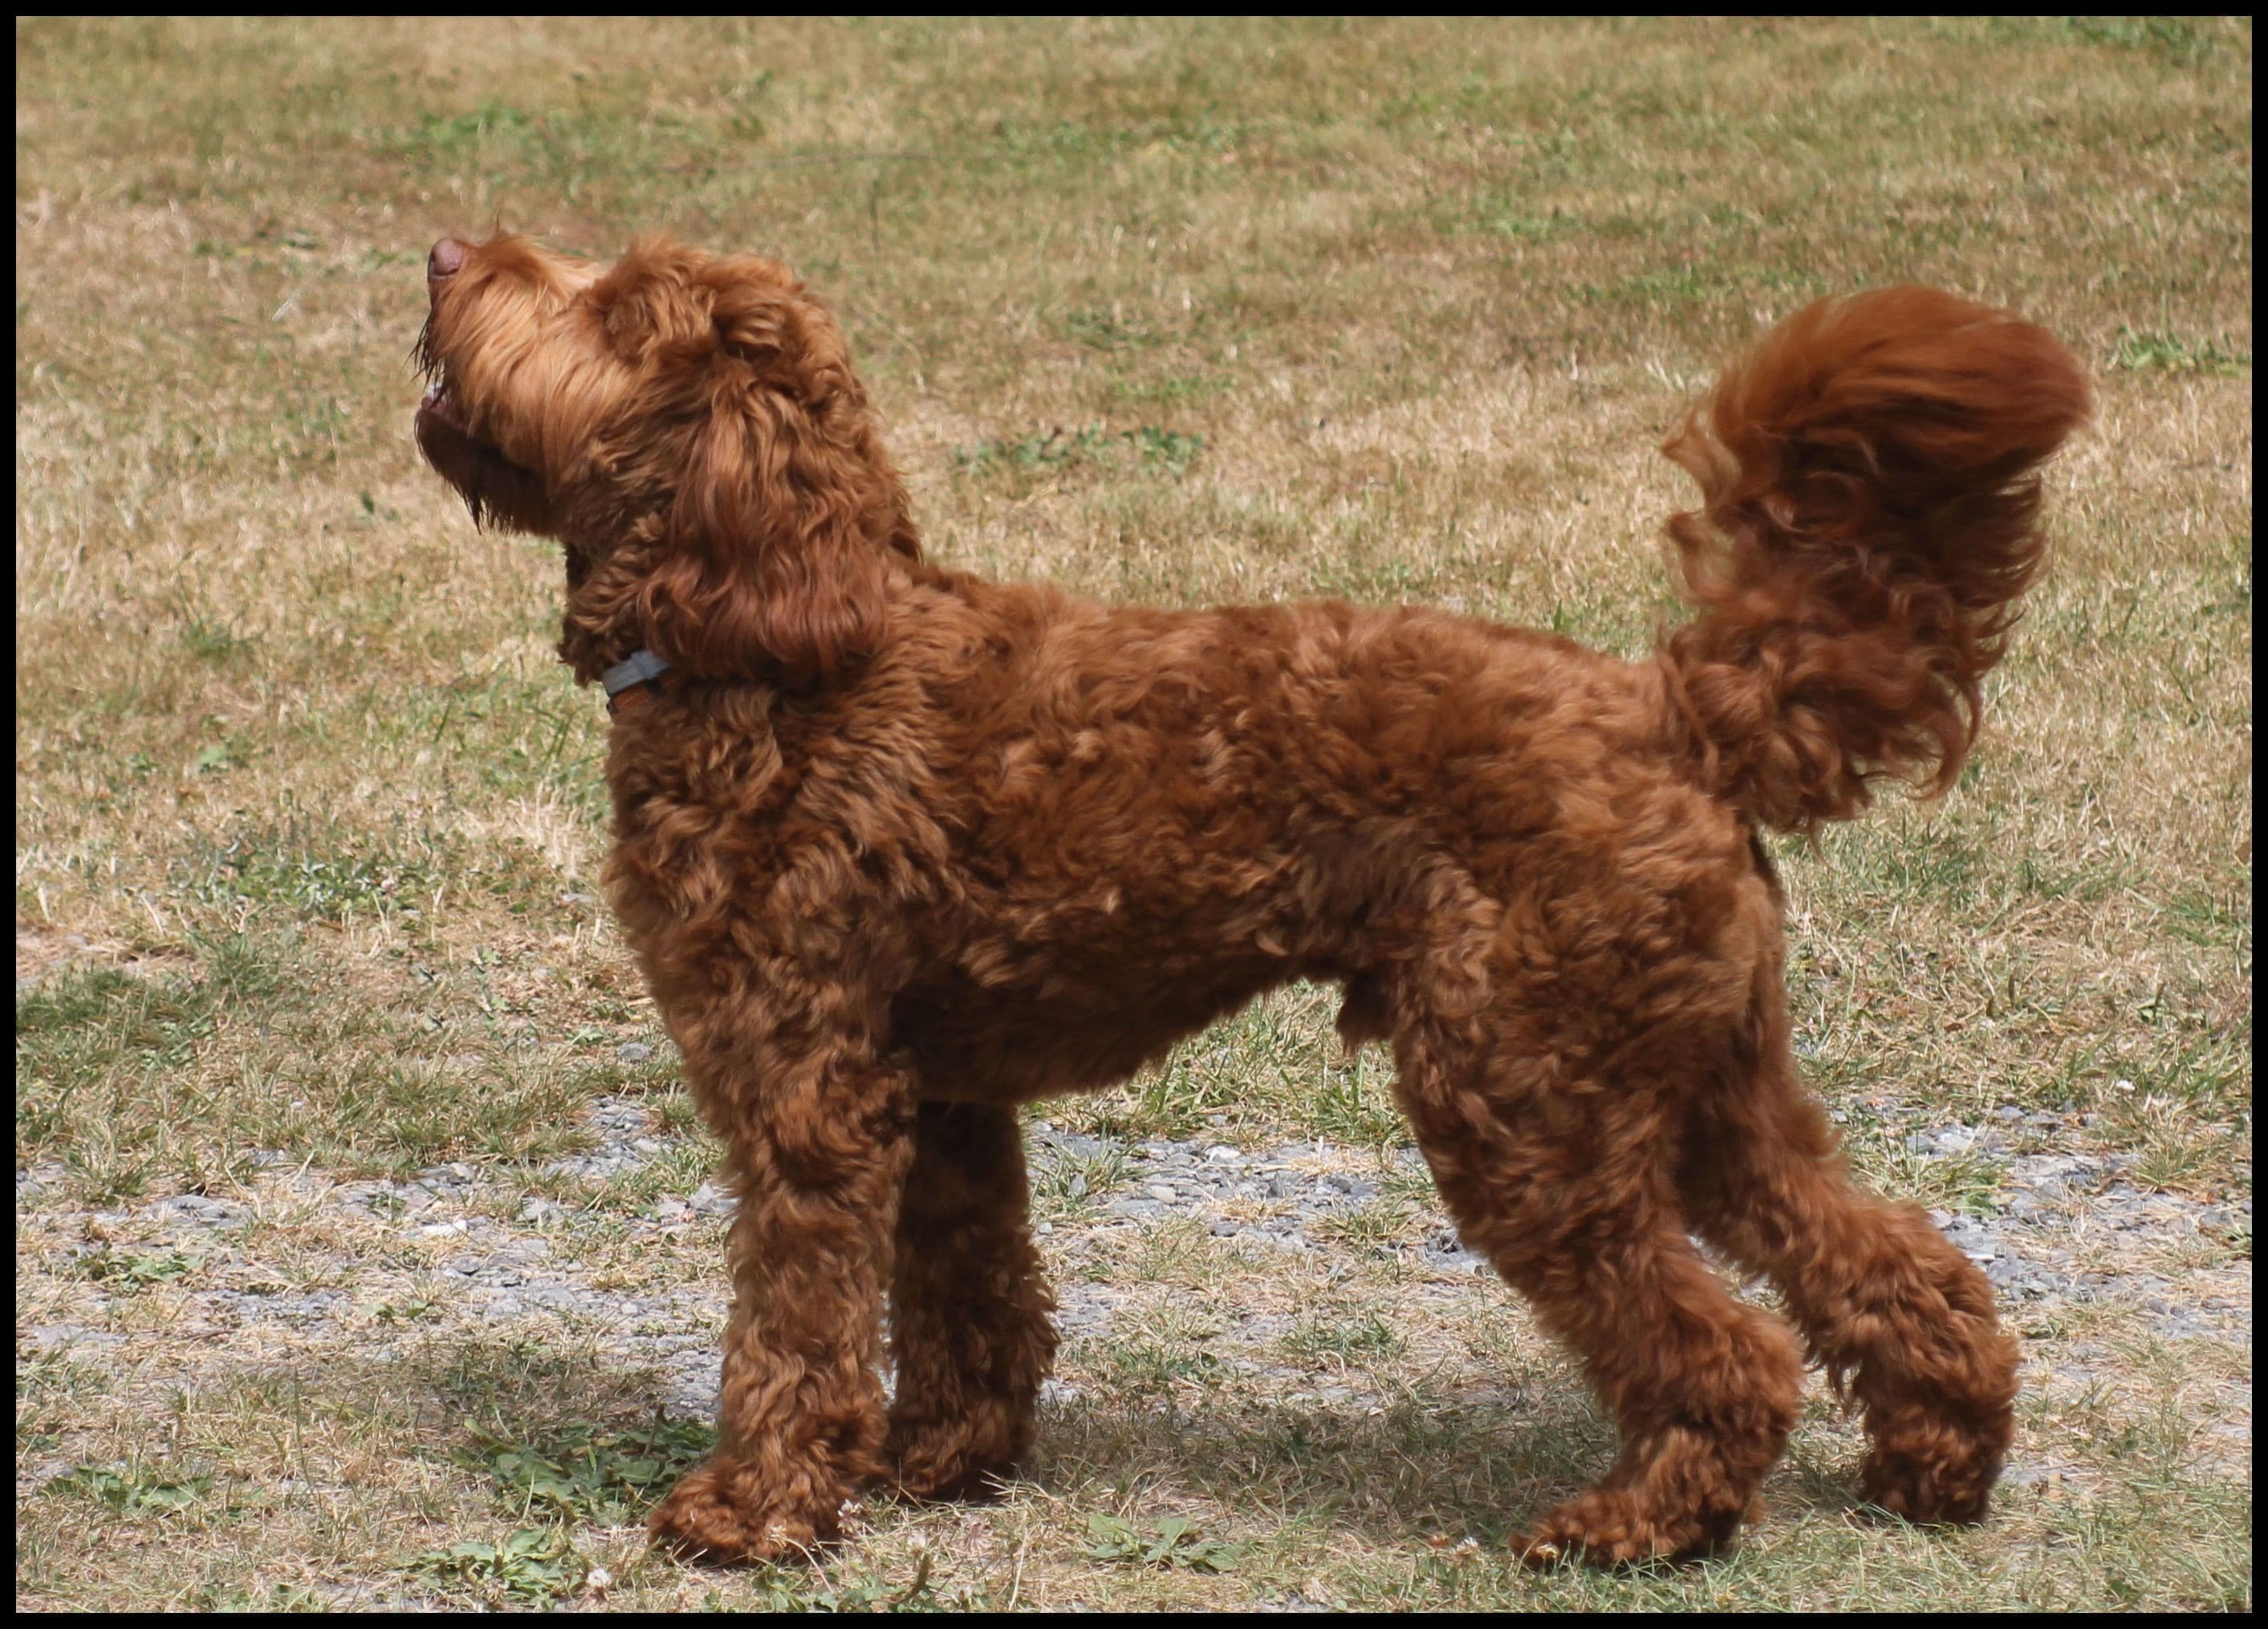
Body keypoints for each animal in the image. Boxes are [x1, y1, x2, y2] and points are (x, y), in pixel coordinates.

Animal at [413, 229, 2086, 1570]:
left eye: (614, 306)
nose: (441, 253)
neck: (776, 649)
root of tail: (1674, 706)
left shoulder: (806, 1087)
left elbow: (796, 1321)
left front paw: (751, 1511)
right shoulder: (939, 1093)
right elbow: (967, 1292)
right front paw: (943, 1462)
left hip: (1527, 1092)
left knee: (1727, 1344)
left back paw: (1638, 1524)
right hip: (1698, 1080)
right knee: (1886, 1262)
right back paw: (1935, 1464)